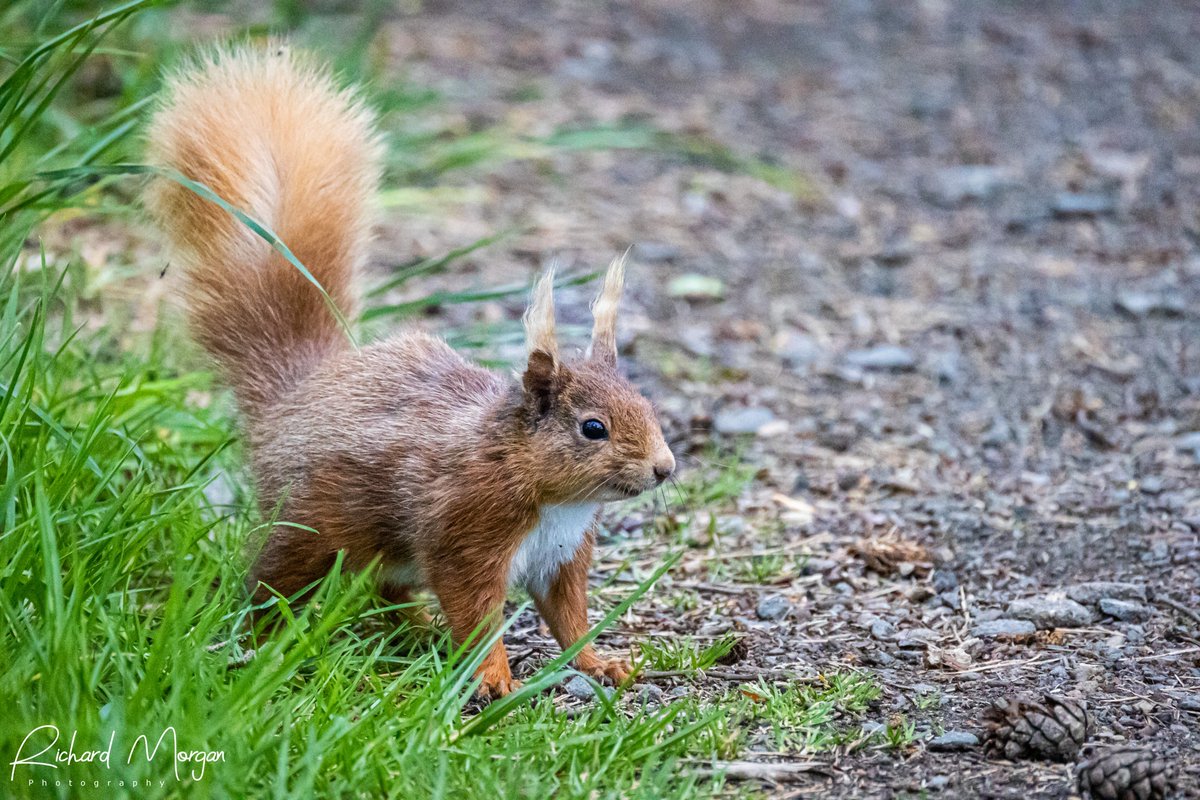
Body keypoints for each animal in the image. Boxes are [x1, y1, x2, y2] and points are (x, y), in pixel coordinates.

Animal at [140, 47, 676, 695]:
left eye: (648, 406)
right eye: (593, 428)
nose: (665, 468)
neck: (552, 499)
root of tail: (297, 394)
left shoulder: (562, 555)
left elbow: (570, 617)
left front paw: (603, 663)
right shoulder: (465, 533)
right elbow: (475, 612)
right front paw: (494, 680)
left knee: (386, 590)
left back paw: (417, 632)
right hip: (312, 524)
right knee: (274, 581)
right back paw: (263, 641)